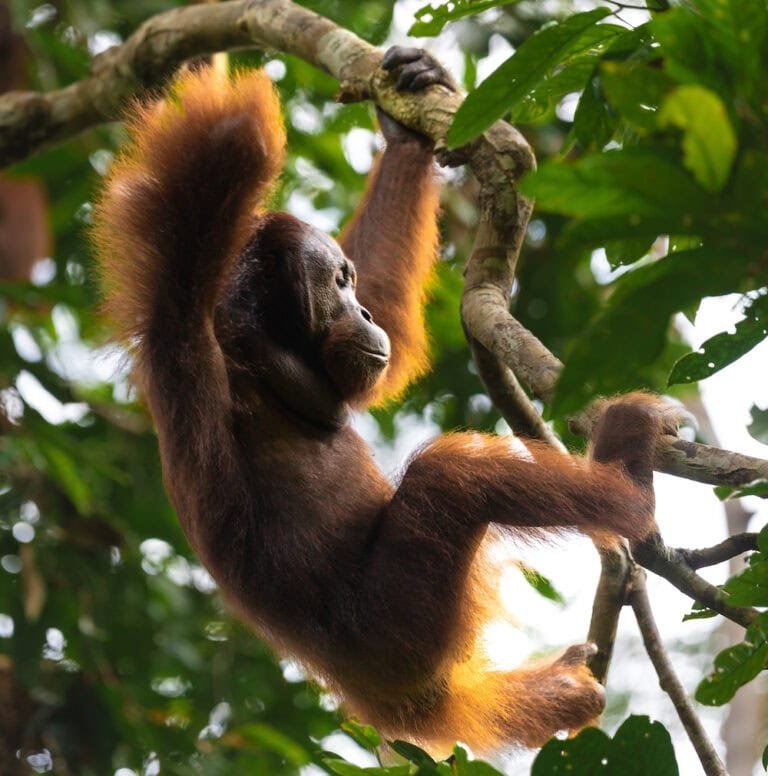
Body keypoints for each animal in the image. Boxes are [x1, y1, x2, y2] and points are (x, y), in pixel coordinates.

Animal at [91, 47, 680, 753]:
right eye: (338, 284)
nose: (362, 311)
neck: (254, 352)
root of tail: (384, 702)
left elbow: (386, 354)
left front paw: (407, 111)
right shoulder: (187, 341)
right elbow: (182, 257)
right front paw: (231, 121)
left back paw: (556, 691)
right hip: (403, 625)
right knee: (449, 480)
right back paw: (629, 476)